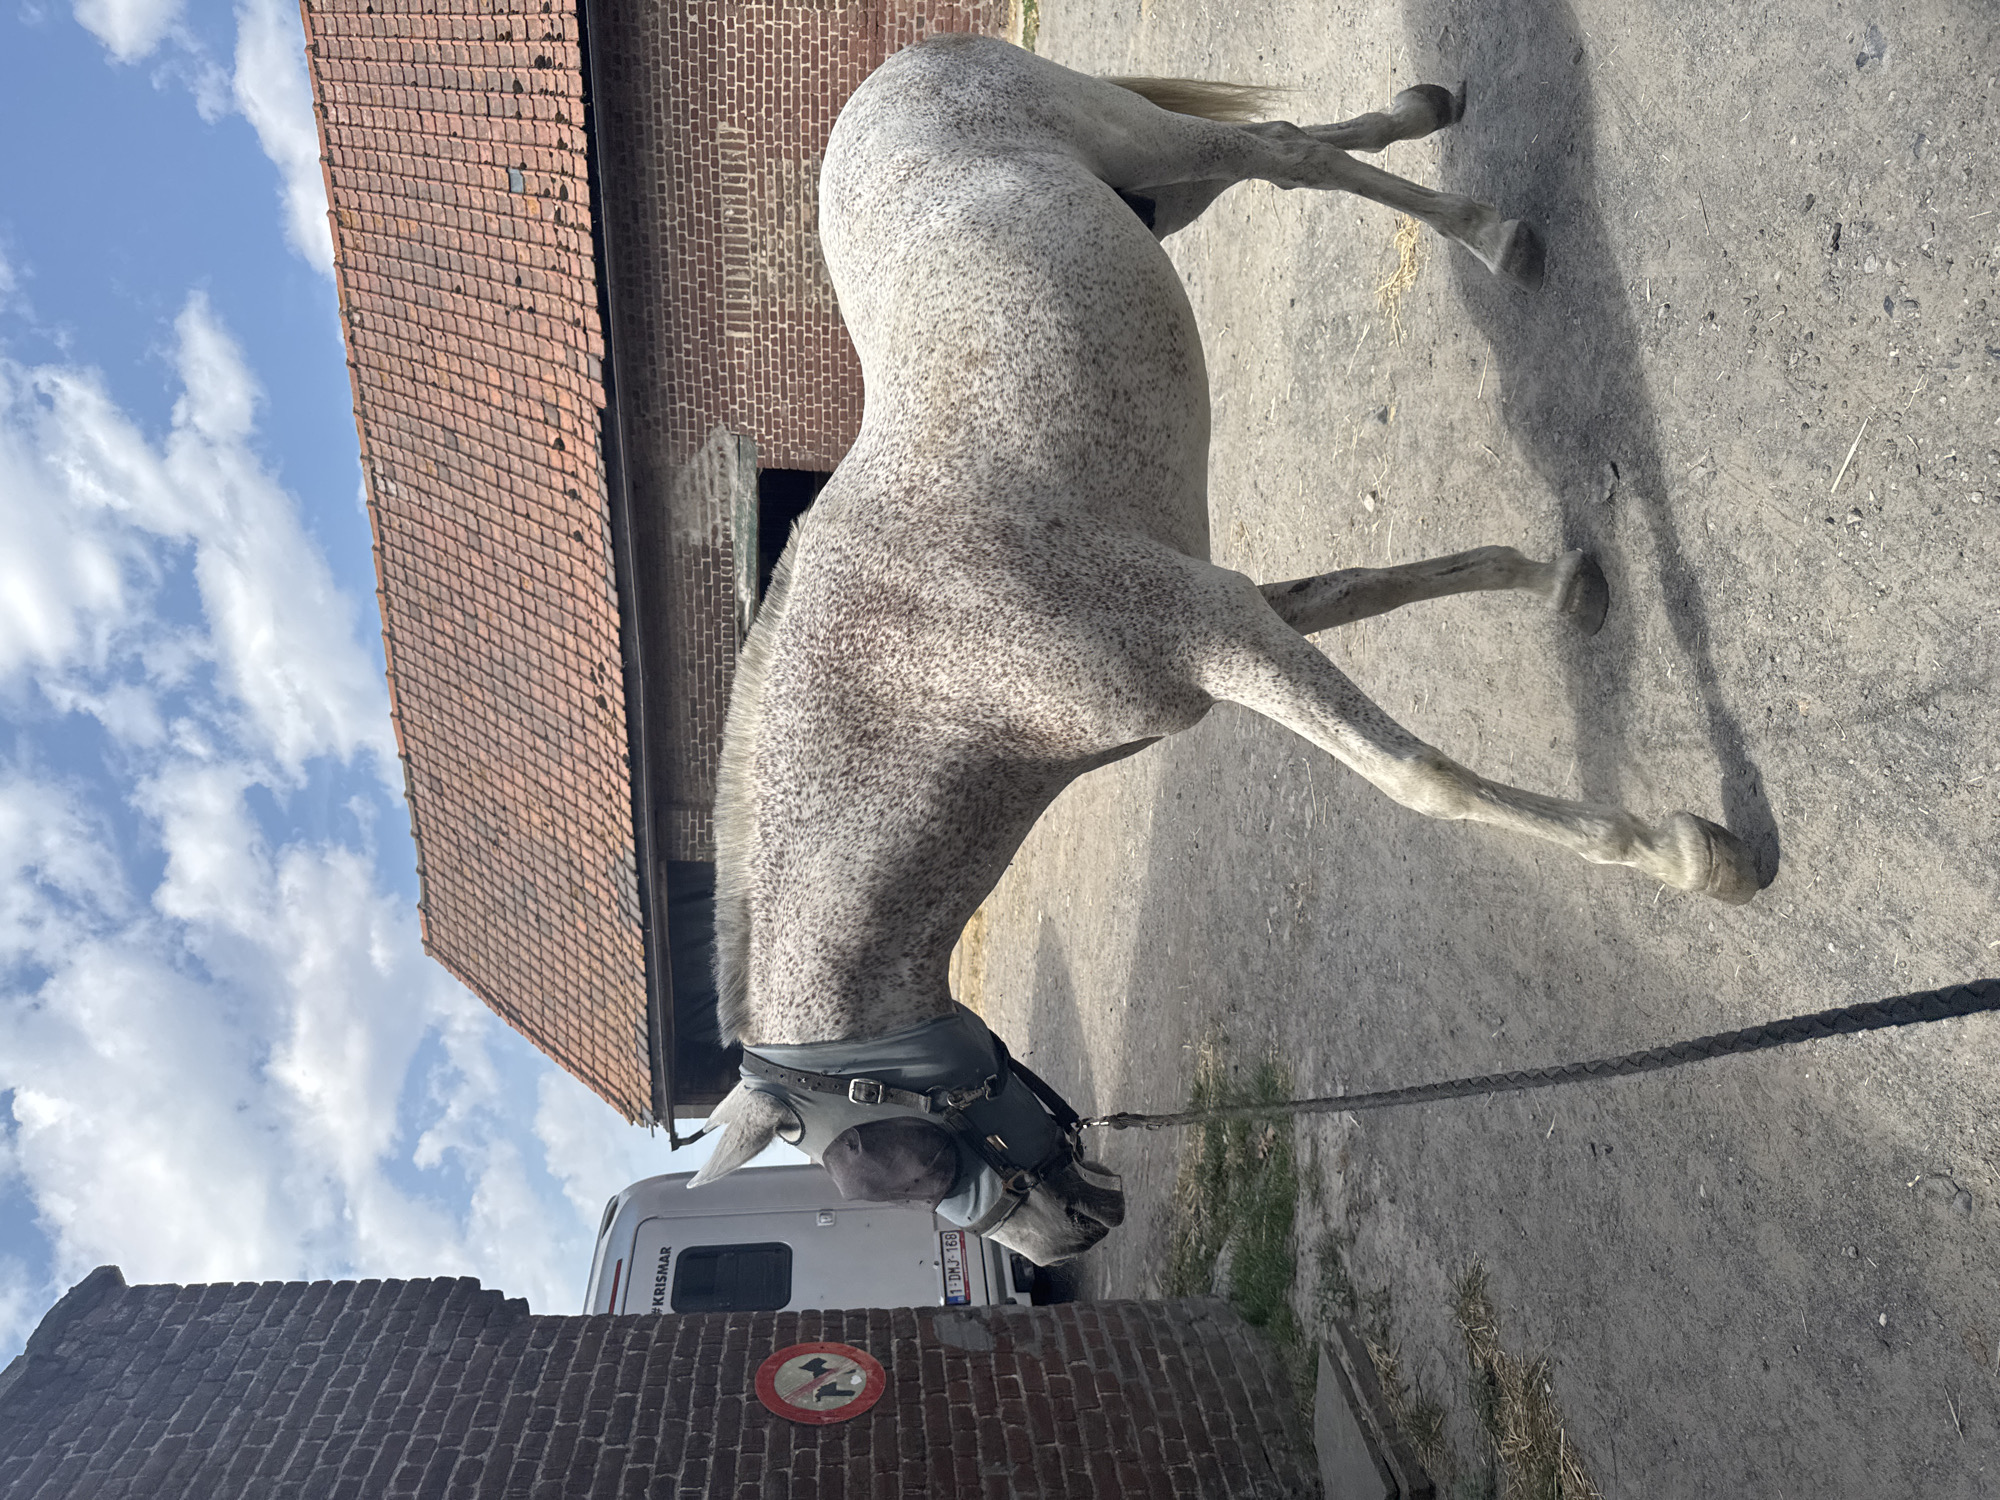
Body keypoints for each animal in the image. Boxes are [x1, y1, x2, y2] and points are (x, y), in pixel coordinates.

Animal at [687, 35, 1760, 1263]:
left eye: (905, 1161)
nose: (1072, 1239)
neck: (926, 675)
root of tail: (903, 65)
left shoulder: (1212, 631)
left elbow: (1417, 776)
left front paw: (1686, 854)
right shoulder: (1235, 610)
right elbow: (1378, 587)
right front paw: (1563, 580)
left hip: (1161, 151)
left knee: (1286, 155)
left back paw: (1493, 234)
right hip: (1164, 199)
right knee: (1299, 151)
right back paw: (1426, 117)